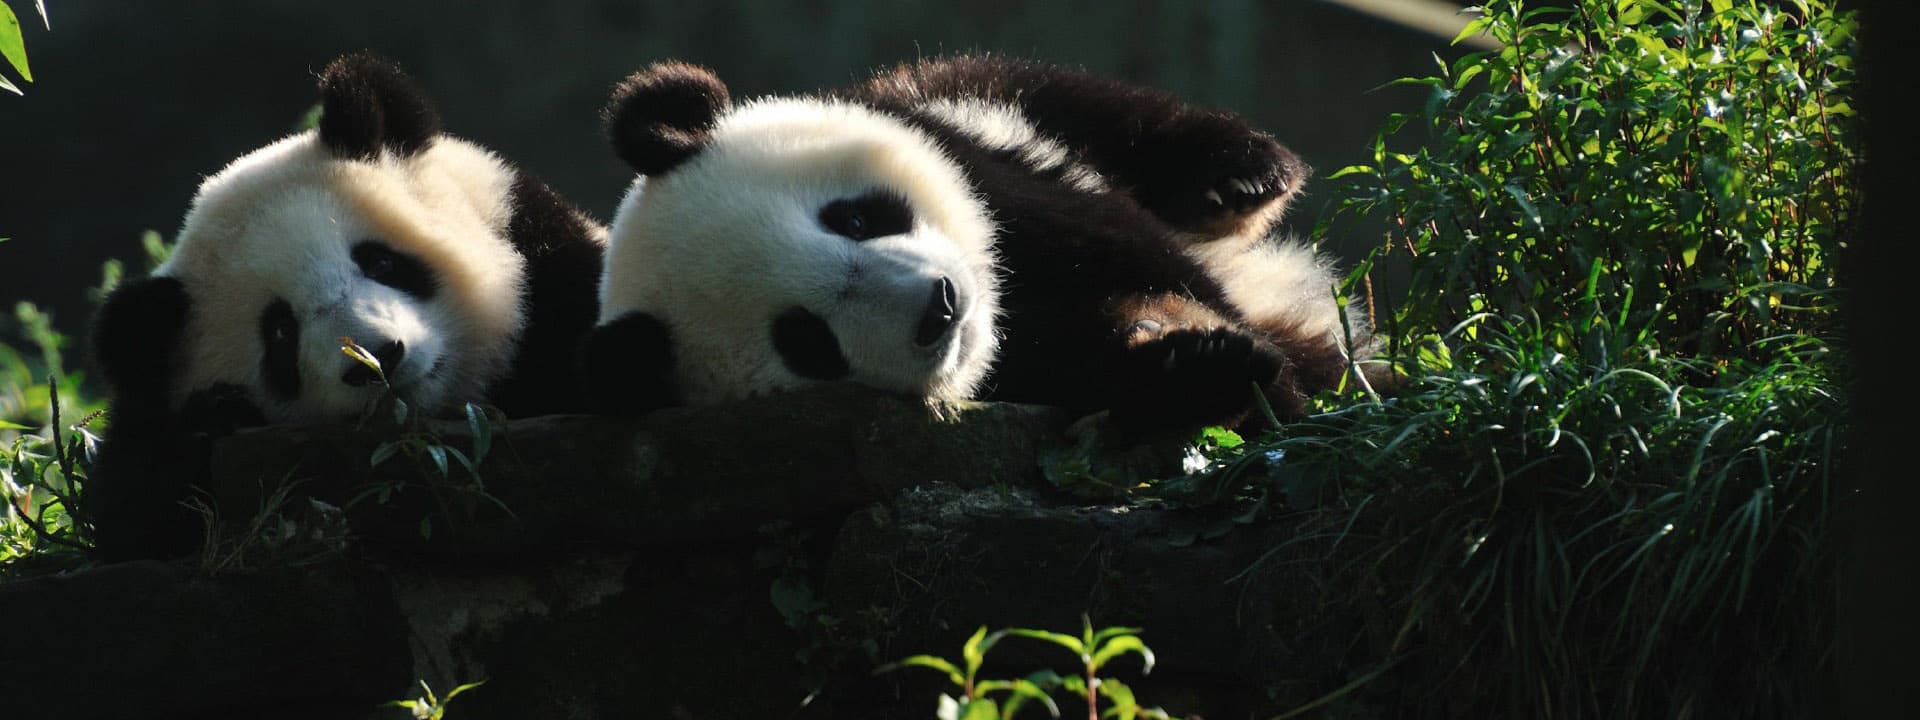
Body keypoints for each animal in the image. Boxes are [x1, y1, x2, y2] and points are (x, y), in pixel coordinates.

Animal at [87, 51, 606, 561]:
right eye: (281, 333)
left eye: (380, 261)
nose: (378, 361)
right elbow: (133, 511)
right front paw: (217, 417)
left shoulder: (546, 257)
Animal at [583, 55, 1378, 434]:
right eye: (806, 342)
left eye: (852, 220)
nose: (939, 308)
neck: (1009, 307)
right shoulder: (1034, 366)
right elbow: (1109, 370)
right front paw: (1216, 365)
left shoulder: (968, 143)